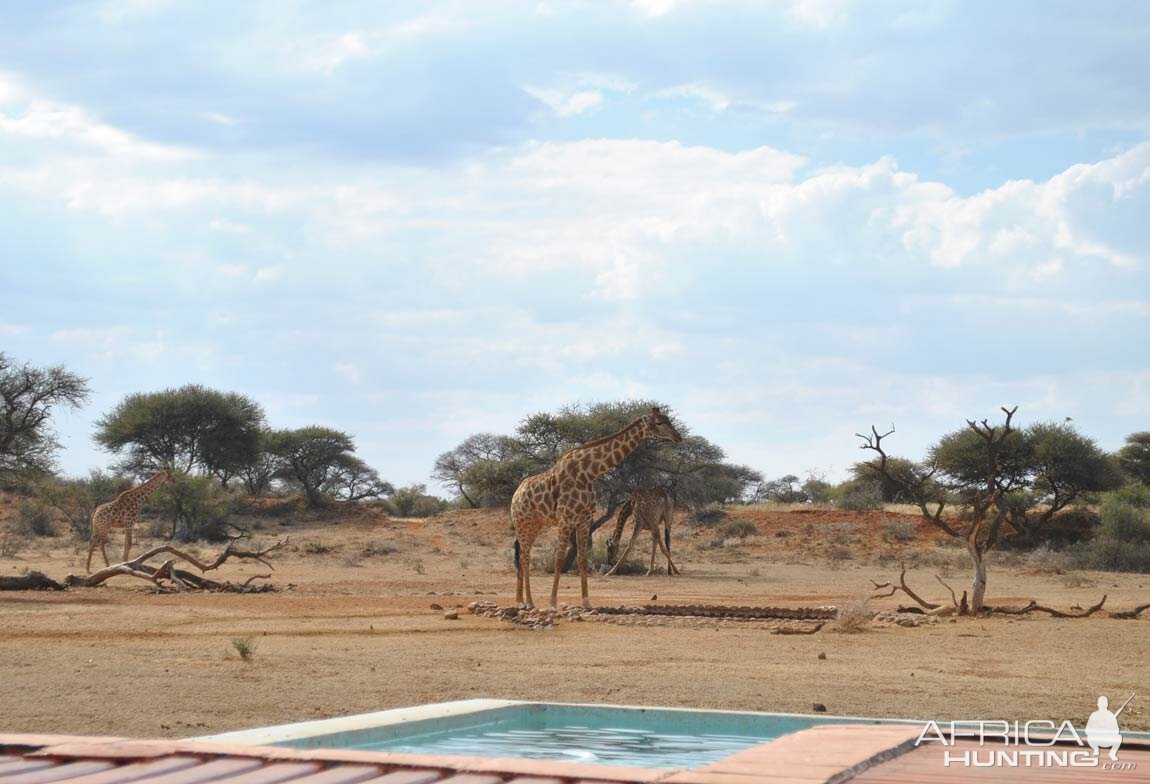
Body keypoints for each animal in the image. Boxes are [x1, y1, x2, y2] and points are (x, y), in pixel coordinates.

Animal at [508, 406, 676, 606]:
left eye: (669, 419)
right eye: (659, 422)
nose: (678, 436)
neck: (588, 472)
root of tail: (515, 494)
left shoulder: (584, 519)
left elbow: (582, 559)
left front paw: (586, 602)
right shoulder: (566, 519)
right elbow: (559, 559)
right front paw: (552, 603)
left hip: (535, 524)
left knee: (523, 556)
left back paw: (522, 601)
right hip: (523, 522)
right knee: (524, 557)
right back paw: (527, 602)